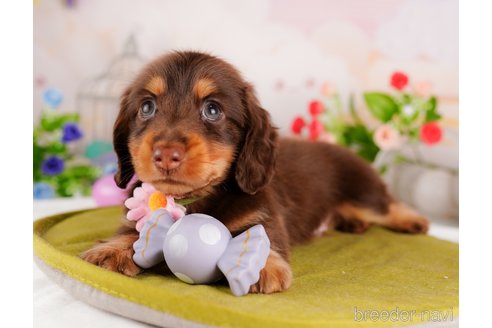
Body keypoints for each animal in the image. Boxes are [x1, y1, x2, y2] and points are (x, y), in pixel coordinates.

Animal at [82, 52, 428, 294]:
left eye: (212, 110)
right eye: (146, 107)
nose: (166, 154)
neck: (194, 200)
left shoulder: (264, 213)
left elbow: (263, 237)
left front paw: (258, 264)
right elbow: (132, 232)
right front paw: (111, 249)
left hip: (364, 193)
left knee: (387, 205)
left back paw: (413, 220)